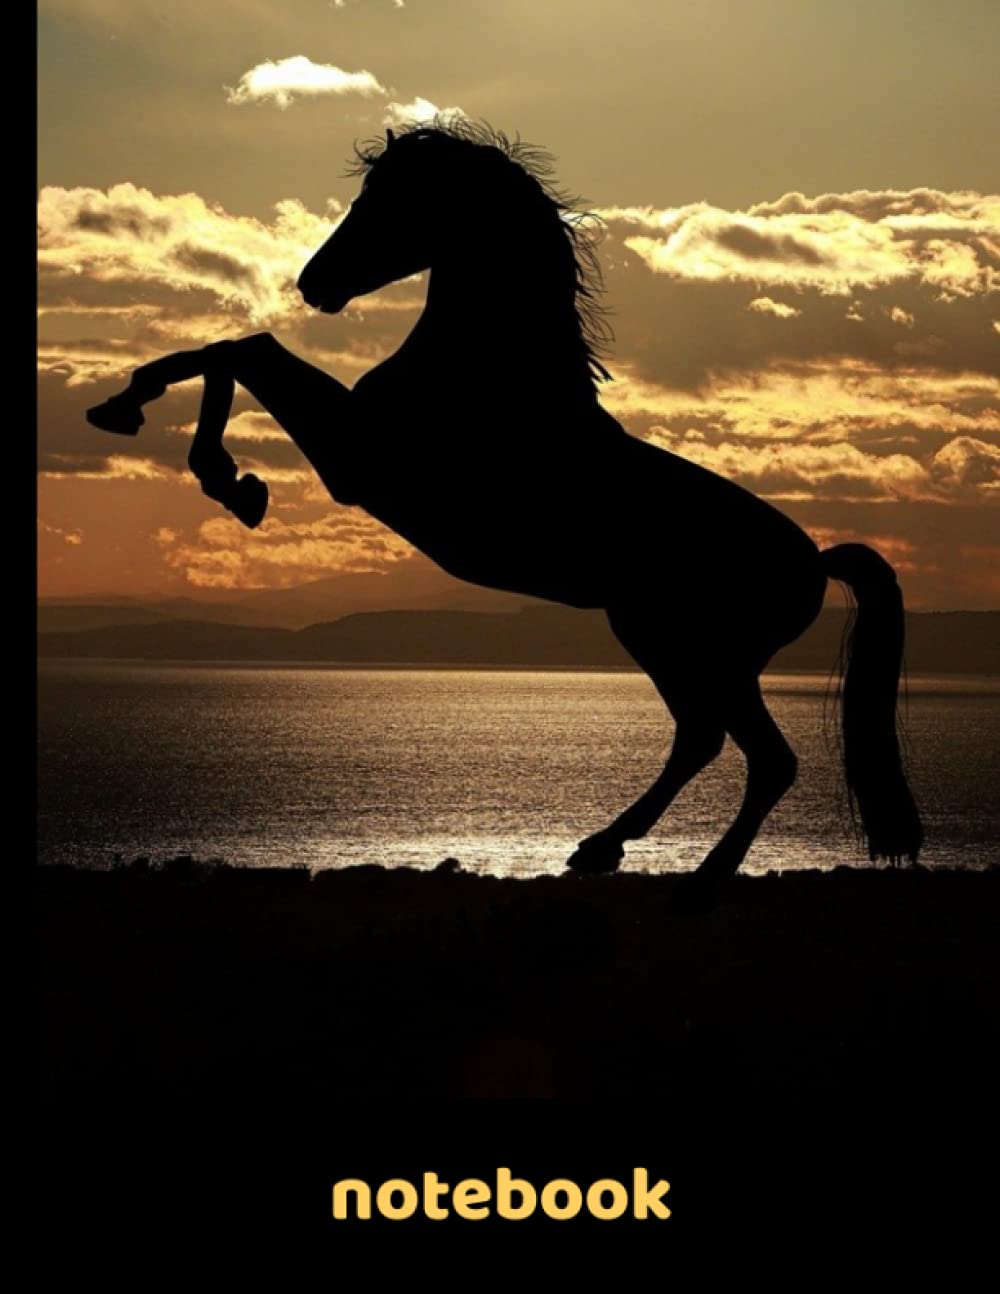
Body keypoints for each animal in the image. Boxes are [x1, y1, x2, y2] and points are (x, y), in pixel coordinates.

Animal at [86, 118, 923, 908]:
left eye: (392, 198)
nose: (313, 282)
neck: (489, 374)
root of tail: (813, 561)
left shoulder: (357, 460)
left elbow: (244, 349)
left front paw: (219, 472)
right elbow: (231, 349)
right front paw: (144, 420)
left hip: (701, 651)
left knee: (764, 759)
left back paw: (695, 884)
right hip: (660, 640)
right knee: (701, 739)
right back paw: (600, 849)